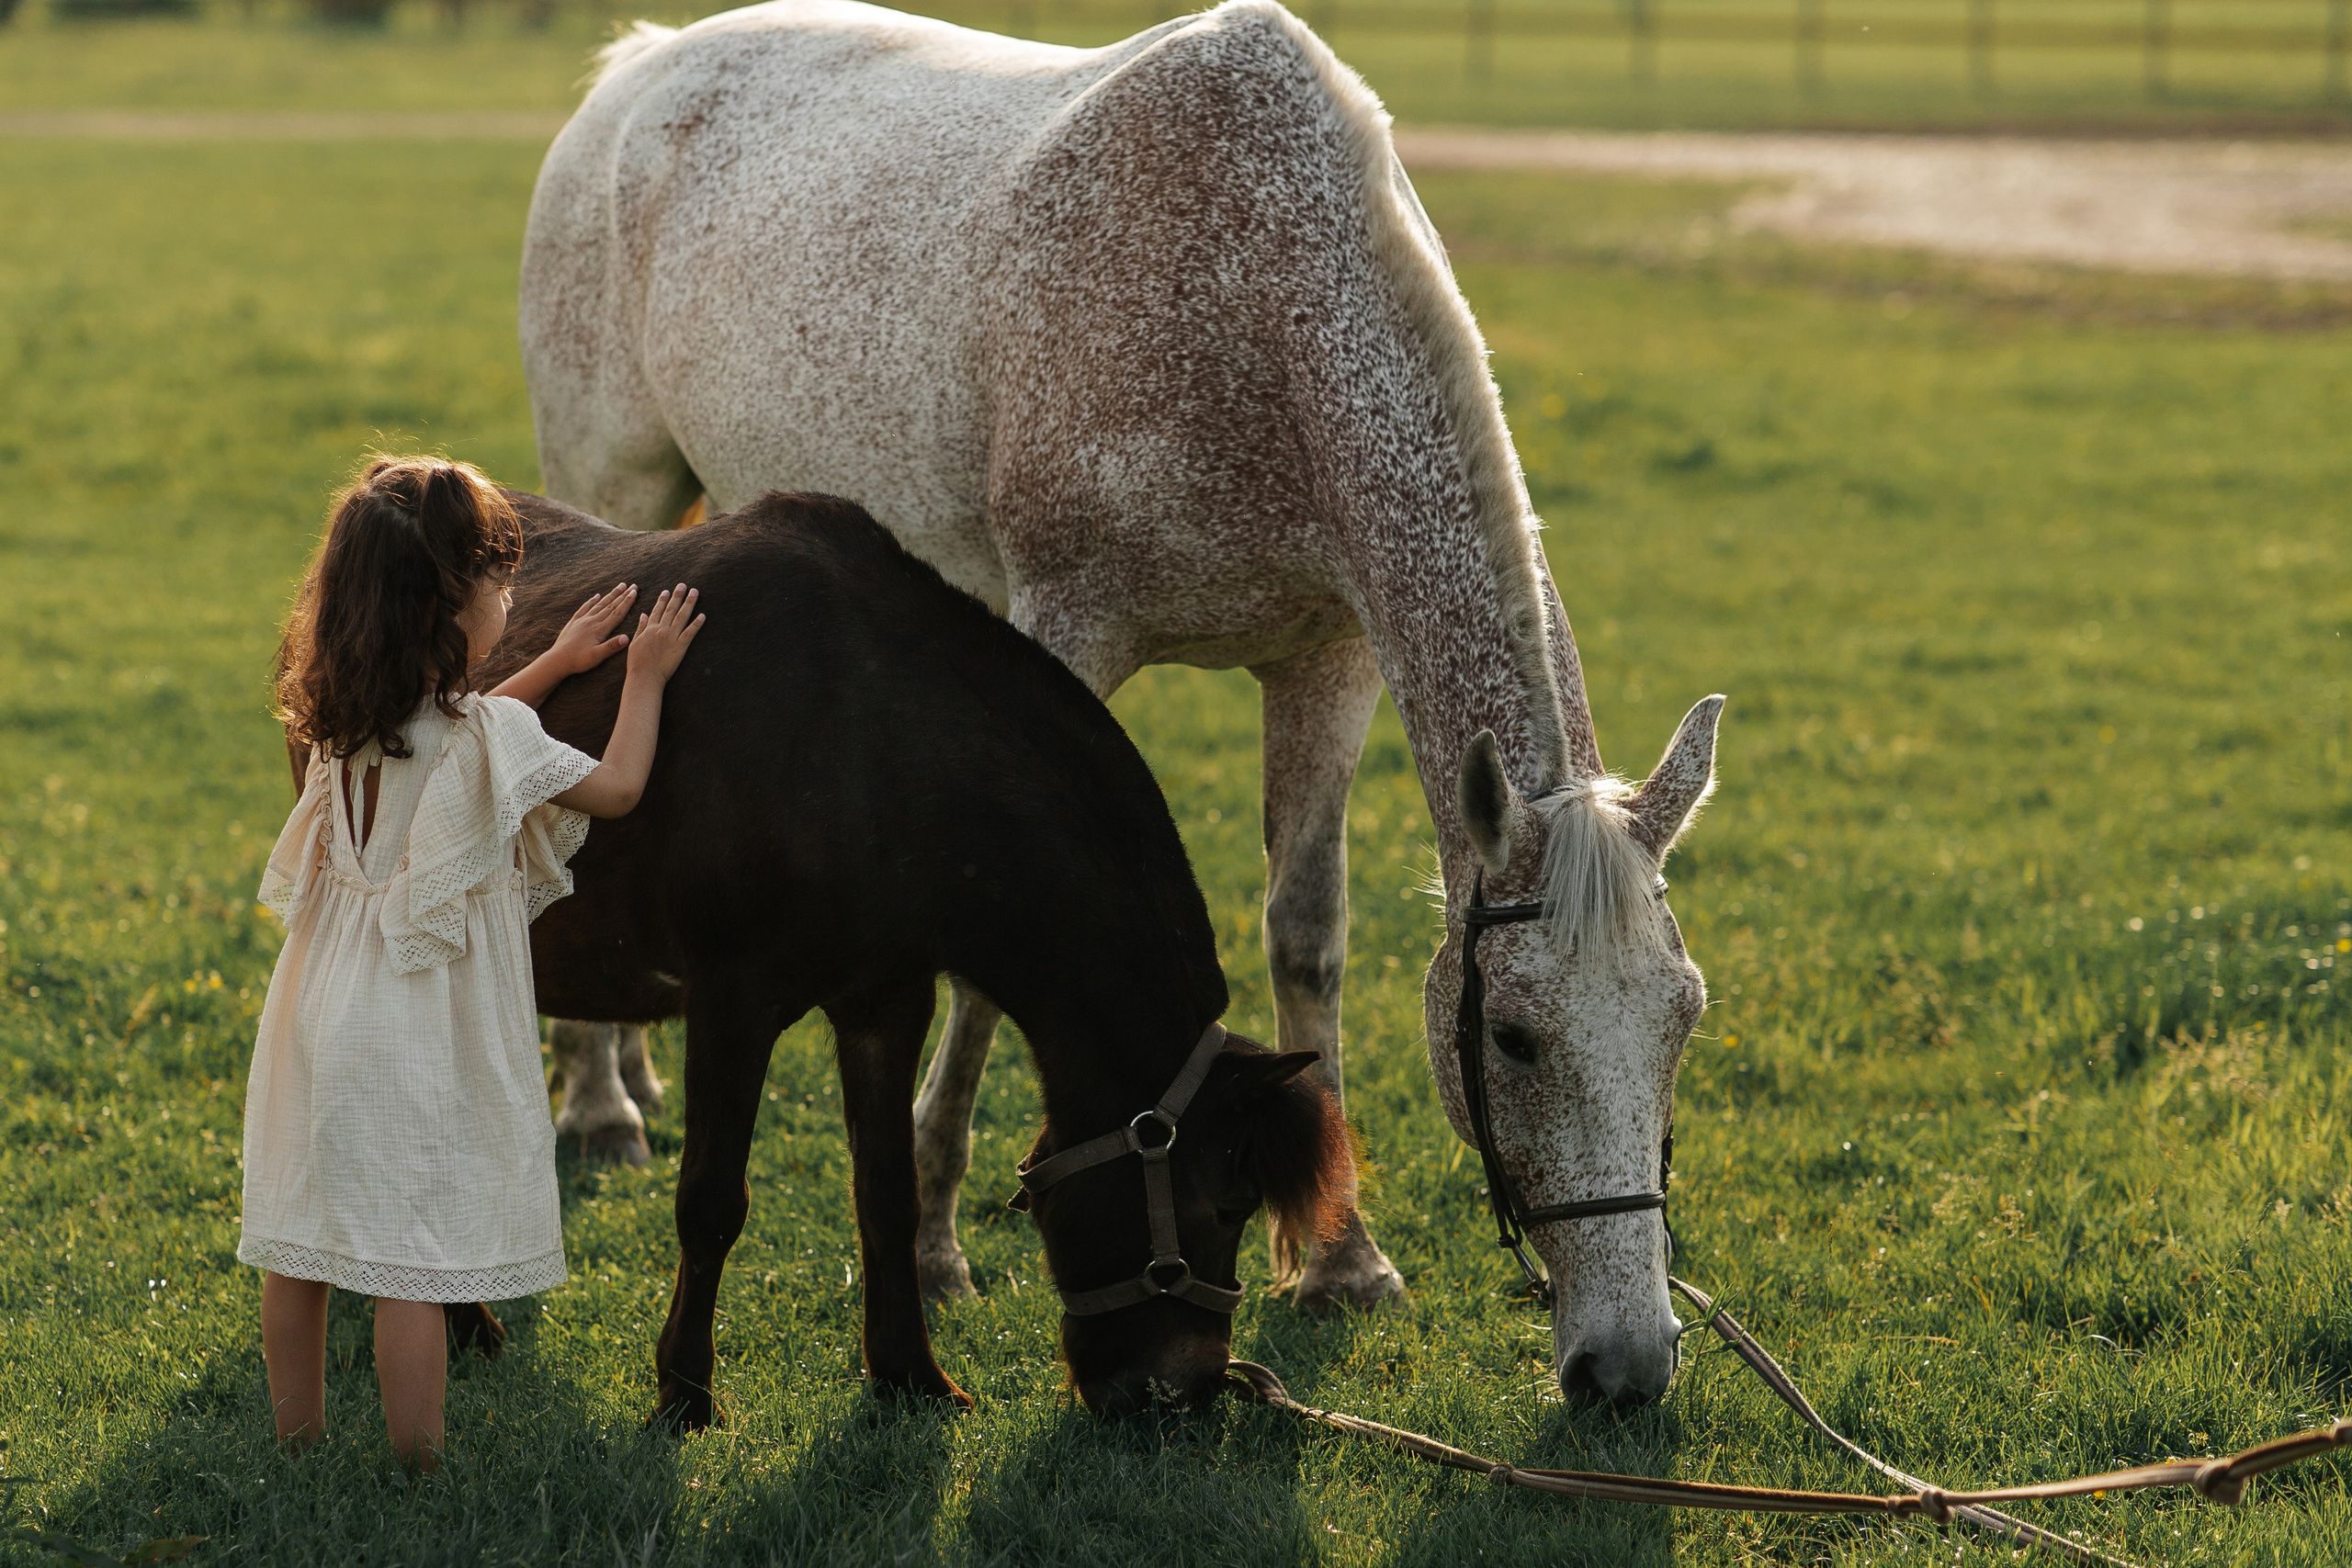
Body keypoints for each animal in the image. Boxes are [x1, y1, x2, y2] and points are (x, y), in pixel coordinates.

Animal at [472, 489, 1352, 1421]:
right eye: (1225, 1205)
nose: (1187, 1387)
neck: (863, 739)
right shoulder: (731, 1003)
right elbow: (710, 1201)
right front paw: (684, 1393)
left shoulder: (886, 1003)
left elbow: (889, 1193)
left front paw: (910, 1373)